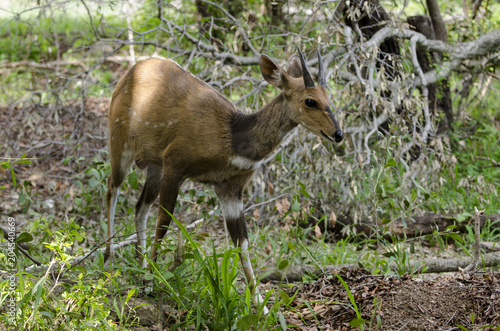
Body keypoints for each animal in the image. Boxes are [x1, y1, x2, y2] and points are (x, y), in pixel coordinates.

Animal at [103, 47, 342, 314]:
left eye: (328, 96)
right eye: (310, 101)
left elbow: (242, 242)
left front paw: (261, 307)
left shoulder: (230, 188)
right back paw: (109, 264)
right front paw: (154, 283)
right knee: (112, 189)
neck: (234, 138)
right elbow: (164, 222)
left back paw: (140, 267)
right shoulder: (175, 163)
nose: (338, 134)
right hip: (120, 142)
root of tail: (129, 73)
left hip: (154, 164)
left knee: (140, 206)